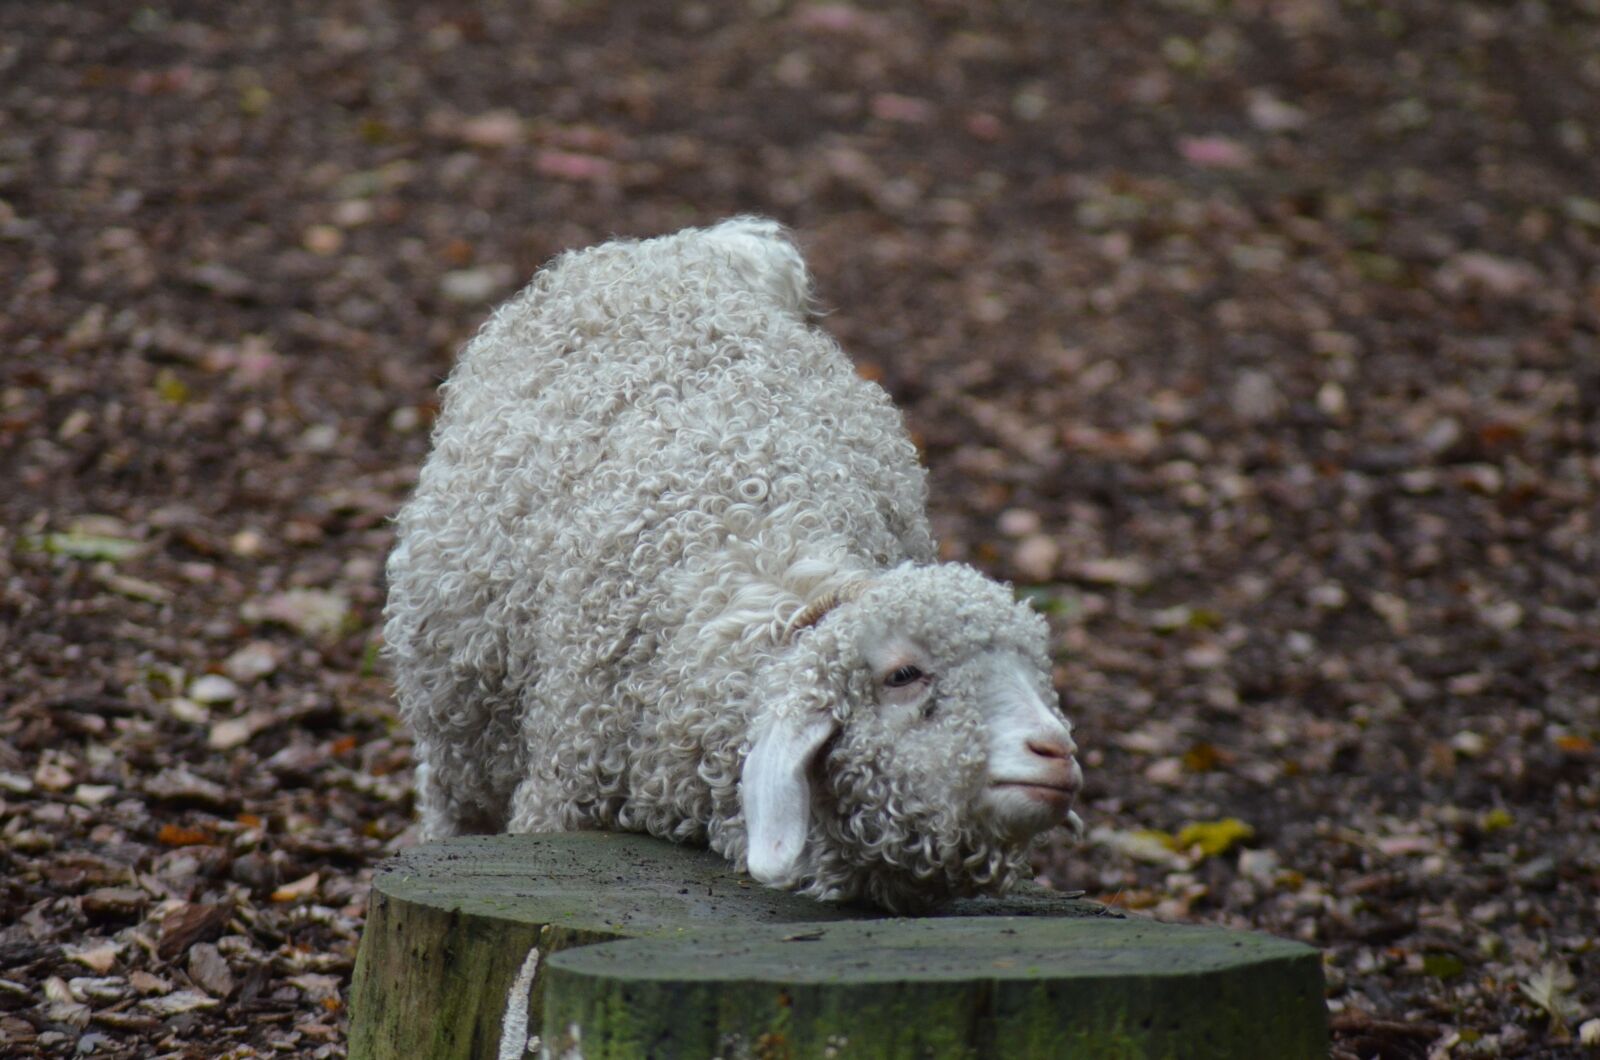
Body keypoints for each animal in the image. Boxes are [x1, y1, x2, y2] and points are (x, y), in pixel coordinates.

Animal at [384, 217, 1084, 912]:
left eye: (1035, 668)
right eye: (903, 675)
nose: (1055, 751)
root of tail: (681, 247)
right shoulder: (562, 793)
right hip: (458, 708)